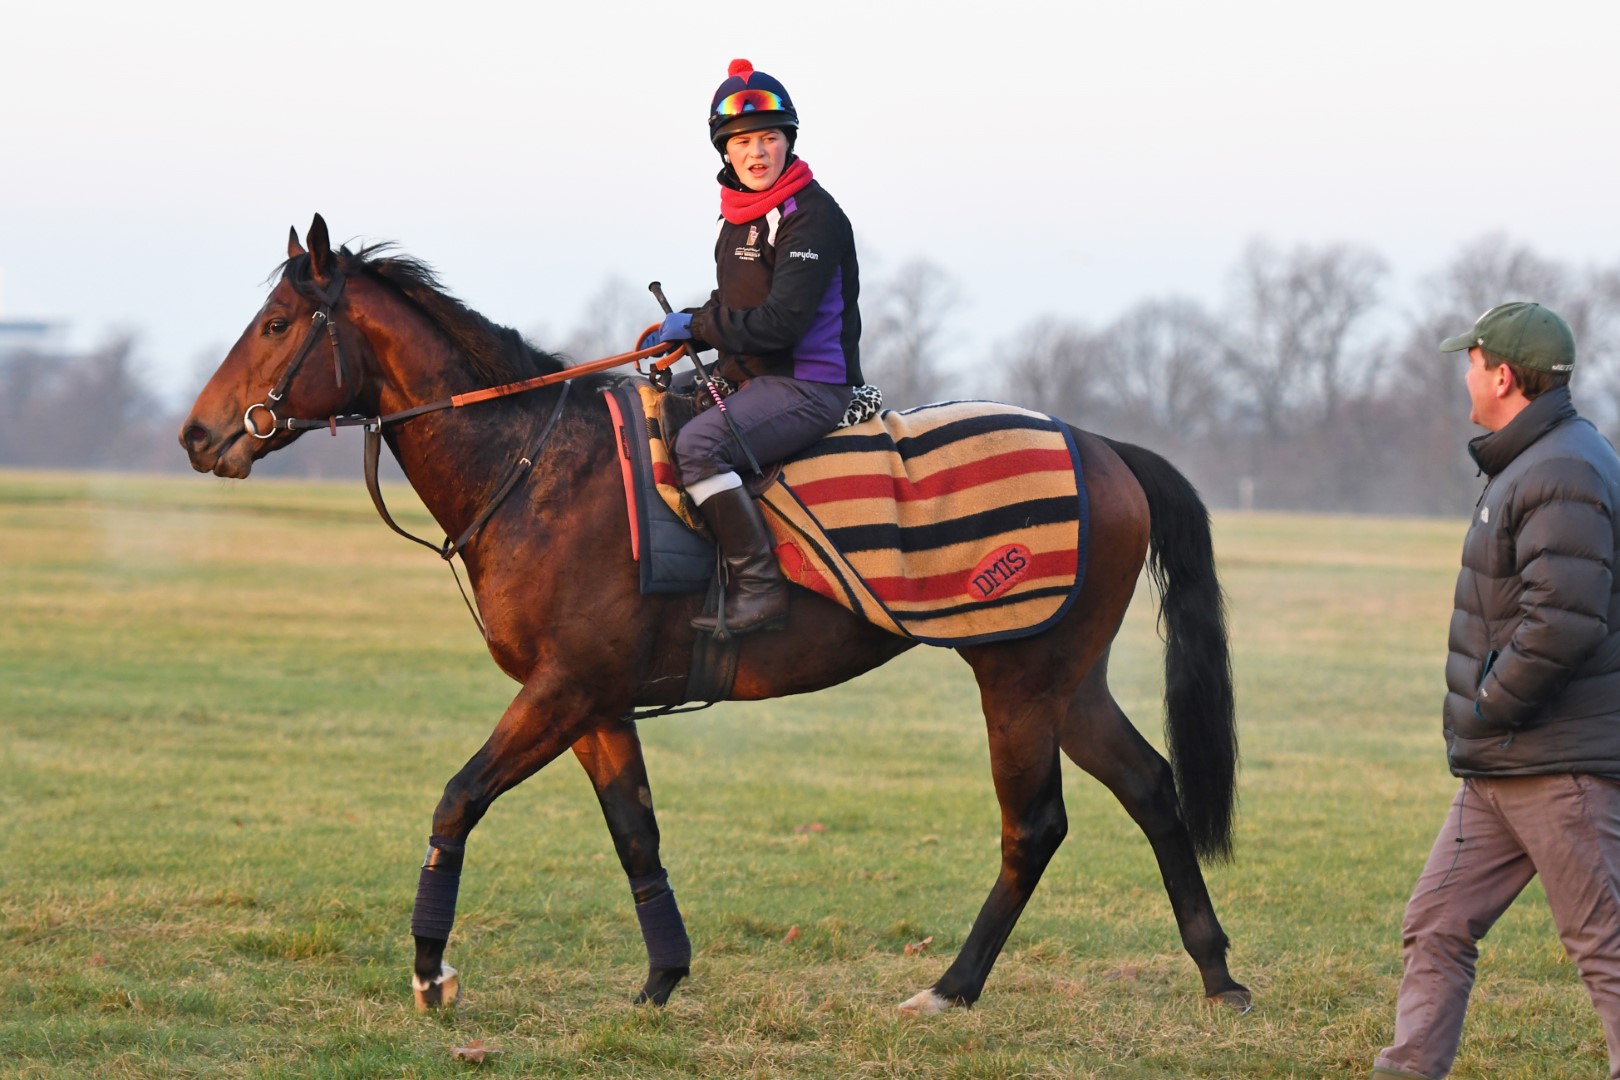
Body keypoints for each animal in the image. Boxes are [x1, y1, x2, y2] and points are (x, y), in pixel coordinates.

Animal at [177, 215, 1244, 1016]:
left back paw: (952, 987)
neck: (533, 464)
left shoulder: (560, 691)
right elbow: (635, 836)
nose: (196, 434)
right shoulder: (594, 705)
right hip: (1067, 679)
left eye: (277, 323)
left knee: (1035, 826)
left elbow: (458, 799)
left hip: (1017, 677)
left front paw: (432, 971)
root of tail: (1100, 445)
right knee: (1150, 787)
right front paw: (662, 976)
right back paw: (1217, 974)